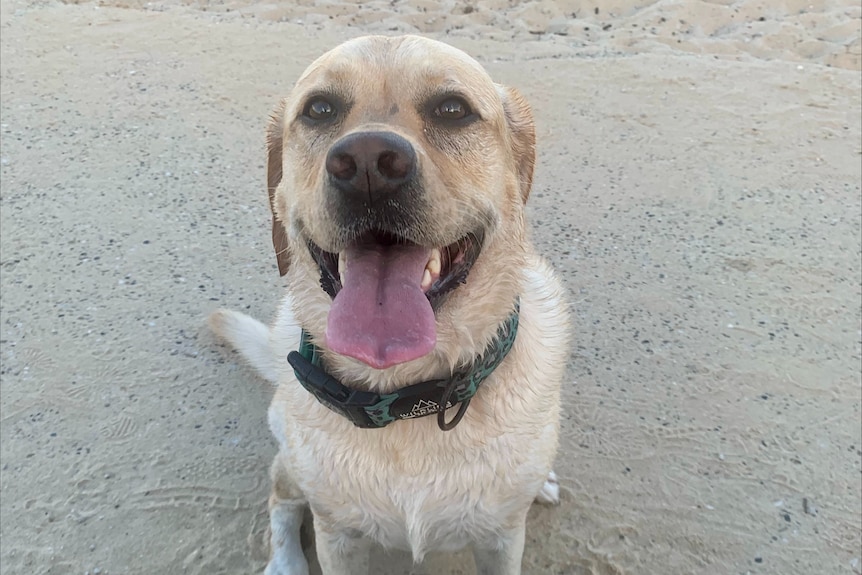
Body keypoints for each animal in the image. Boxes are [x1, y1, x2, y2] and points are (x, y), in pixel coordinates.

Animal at [211, 33, 572, 572]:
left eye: (452, 109)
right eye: (320, 109)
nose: (367, 162)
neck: (406, 400)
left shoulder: (502, 537)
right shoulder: (338, 537)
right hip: (296, 468)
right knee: (281, 496)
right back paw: (286, 561)